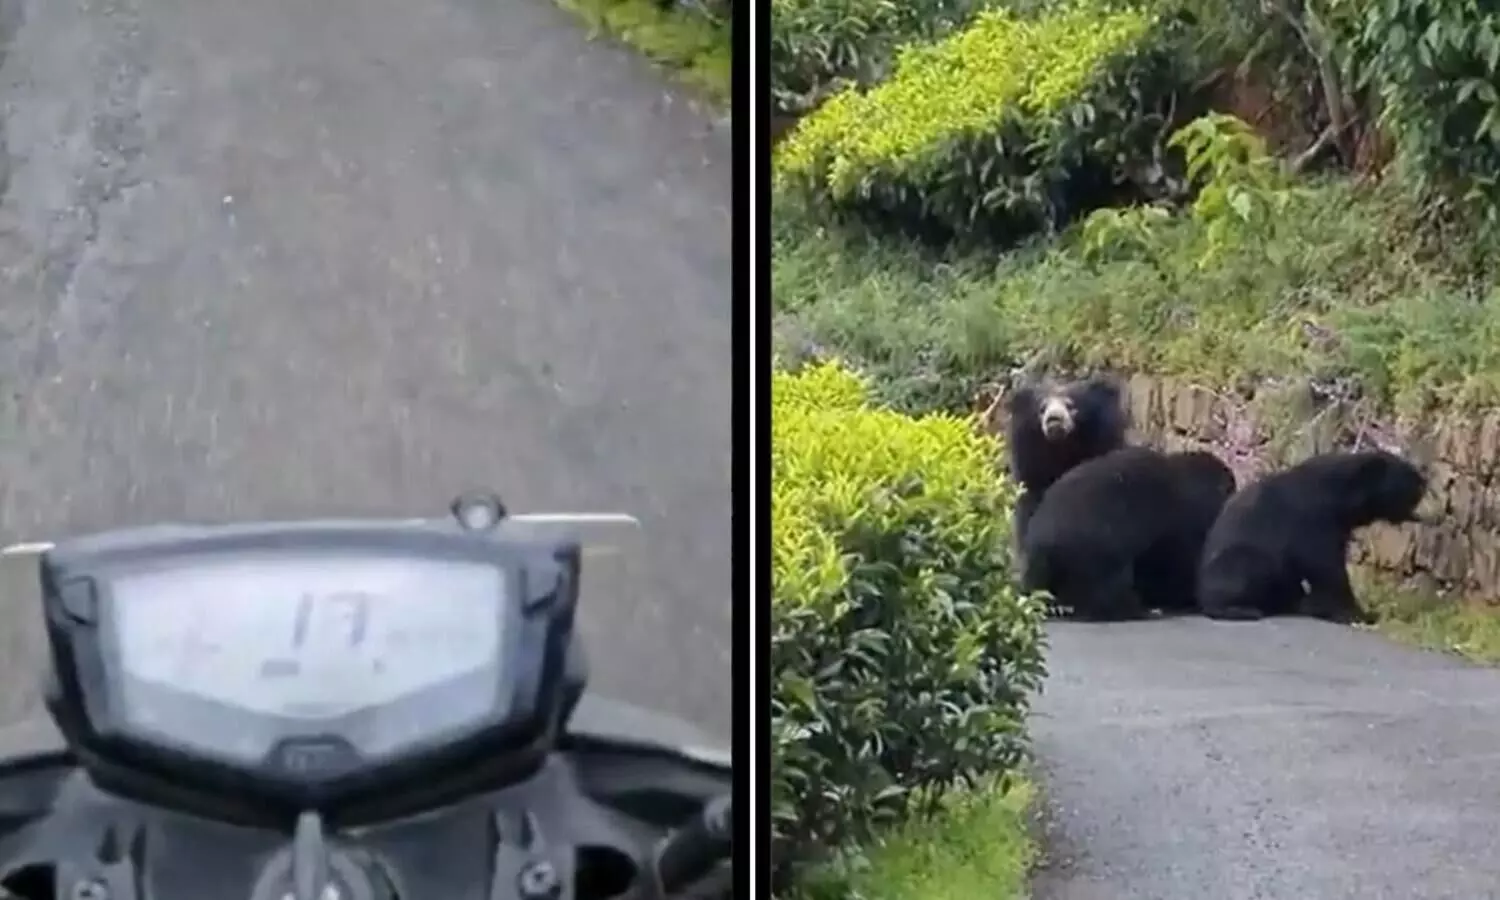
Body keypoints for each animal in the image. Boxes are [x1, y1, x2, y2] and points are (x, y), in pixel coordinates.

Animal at [1196, 450, 1427, 624]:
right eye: (1408, 475)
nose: (1424, 480)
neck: (1341, 498)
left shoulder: (1338, 525)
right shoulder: (1313, 518)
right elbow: (1325, 565)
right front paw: (1358, 614)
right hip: (1234, 561)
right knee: (1249, 565)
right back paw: (1242, 609)